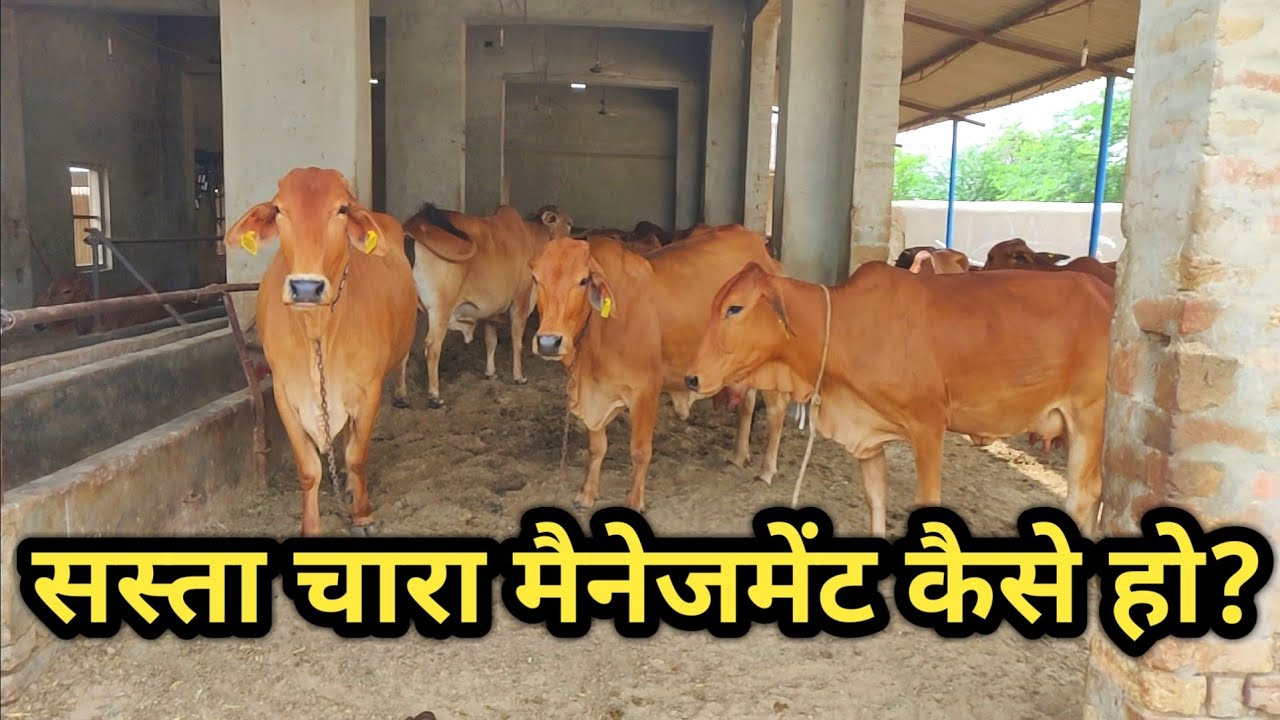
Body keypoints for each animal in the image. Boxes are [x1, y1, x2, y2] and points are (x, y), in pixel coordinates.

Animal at [224, 167, 418, 536]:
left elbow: (357, 457)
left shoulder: (368, 390)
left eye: (341, 209)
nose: (305, 288)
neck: (317, 332)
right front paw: (311, 526)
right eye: (279, 209)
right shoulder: (285, 394)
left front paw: (362, 514)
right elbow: (309, 468)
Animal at [398, 202, 571, 408]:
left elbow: (491, 341)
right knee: (432, 348)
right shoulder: (520, 302)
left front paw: (491, 373)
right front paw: (519, 377)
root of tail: (412, 227)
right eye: (568, 224)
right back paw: (434, 396)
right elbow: (517, 341)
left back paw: (401, 396)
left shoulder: (489, 312)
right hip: (440, 309)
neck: (532, 238)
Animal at [529, 227, 789, 512]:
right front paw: (586, 495)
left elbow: (640, 450)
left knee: (776, 411)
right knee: (747, 404)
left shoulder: (645, 390)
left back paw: (766, 470)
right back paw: (739, 456)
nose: (548, 342)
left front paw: (634, 501)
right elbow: (597, 447)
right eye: (536, 279)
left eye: (583, 281)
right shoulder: (594, 391)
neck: (598, 328)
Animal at [684, 261, 1113, 538]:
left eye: (735, 308)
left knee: (1083, 493)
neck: (846, 326)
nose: (692, 377)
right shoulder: (867, 436)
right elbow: (876, 498)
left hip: (1088, 415)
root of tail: (1106, 292)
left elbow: (926, 503)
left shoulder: (928, 427)